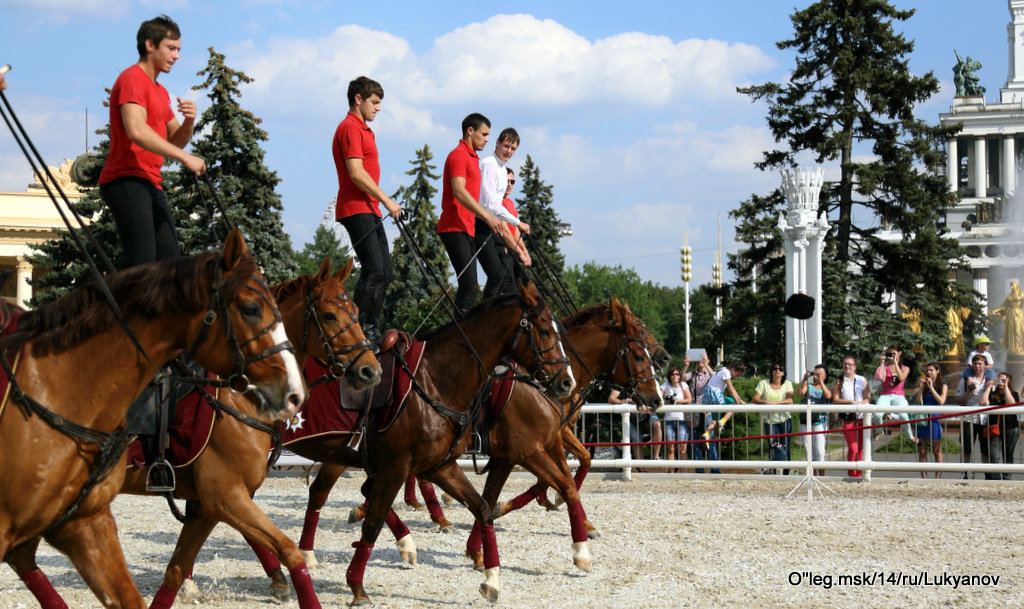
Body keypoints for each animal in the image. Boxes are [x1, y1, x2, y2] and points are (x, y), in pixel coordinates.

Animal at [0, 229, 303, 609]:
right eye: (251, 309)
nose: (295, 394)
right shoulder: (224, 495)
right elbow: (285, 547)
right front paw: (280, 580)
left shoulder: (203, 505)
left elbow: (177, 568)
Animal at [288, 280, 577, 605]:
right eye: (545, 330)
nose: (567, 381)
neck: (433, 381)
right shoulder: (398, 467)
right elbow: (372, 525)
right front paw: (356, 586)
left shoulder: (442, 465)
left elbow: (484, 507)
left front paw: (491, 578)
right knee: (318, 494)